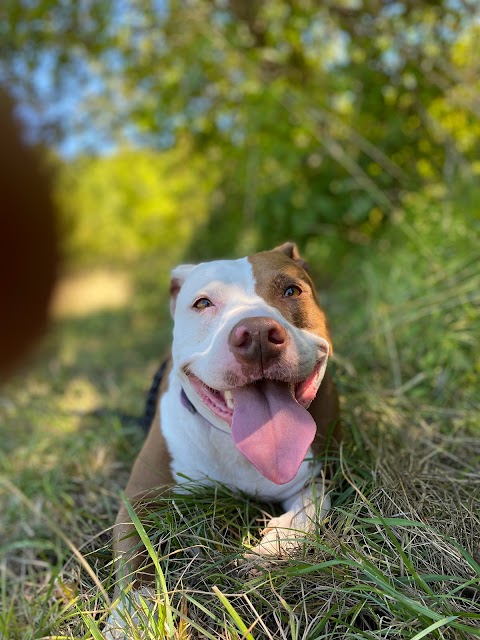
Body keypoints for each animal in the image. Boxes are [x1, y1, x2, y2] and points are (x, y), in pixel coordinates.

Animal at [103, 242, 340, 636]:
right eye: (202, 303)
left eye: (291, 290)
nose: (257, 334)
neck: (234, 442)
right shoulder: (140, 499)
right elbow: (138, 563)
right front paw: (132, 621)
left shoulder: (318, 471)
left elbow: (314, 505)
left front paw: (270, 548)